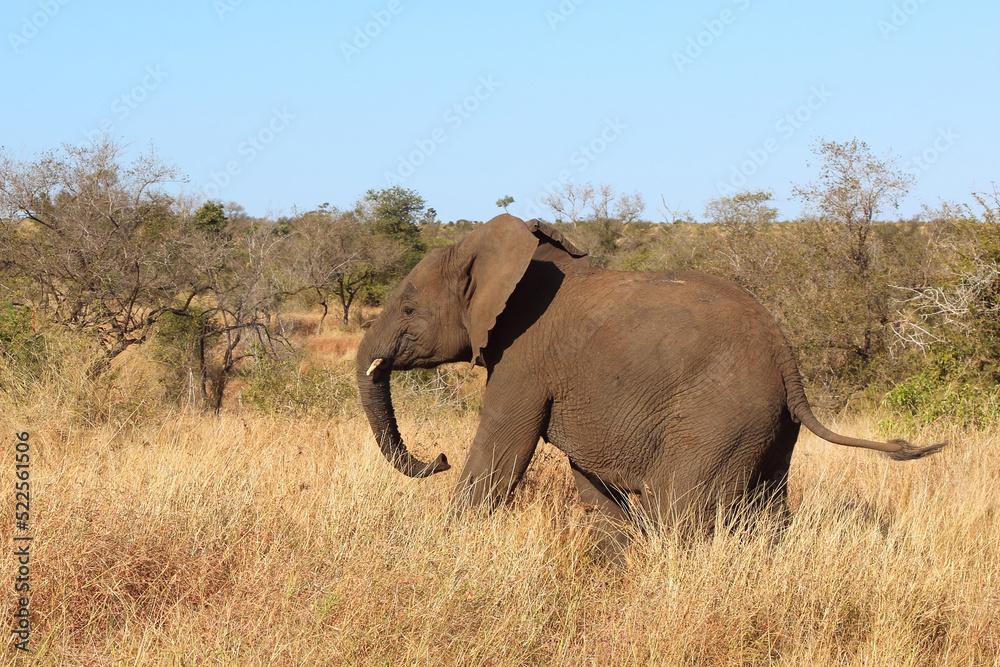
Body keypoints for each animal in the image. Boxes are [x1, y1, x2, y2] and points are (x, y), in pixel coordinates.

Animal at [355, 214, 945, 549]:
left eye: (408, 310)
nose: (437, 458)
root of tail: (786, 358)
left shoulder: (524, 361)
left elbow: (498, 456)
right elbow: (592, 483)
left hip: (719, 419)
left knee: (678, 511)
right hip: (769, 423)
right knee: (768, 507)